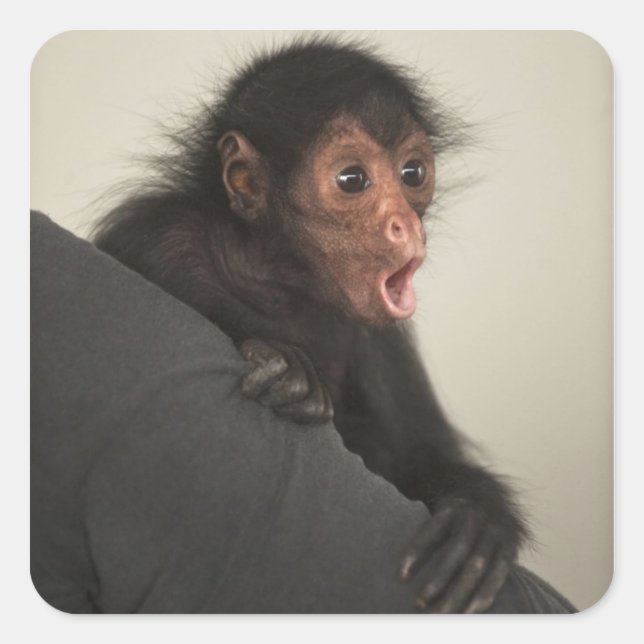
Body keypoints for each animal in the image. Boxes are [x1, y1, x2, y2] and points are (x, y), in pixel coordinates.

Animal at [92, 36, 530, 613]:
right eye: (352, 180)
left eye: (413, 174)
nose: (405, 224)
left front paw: (479, 514)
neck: (278, 283)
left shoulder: (381, 339)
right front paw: (286, 367)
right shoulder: (160, 237)